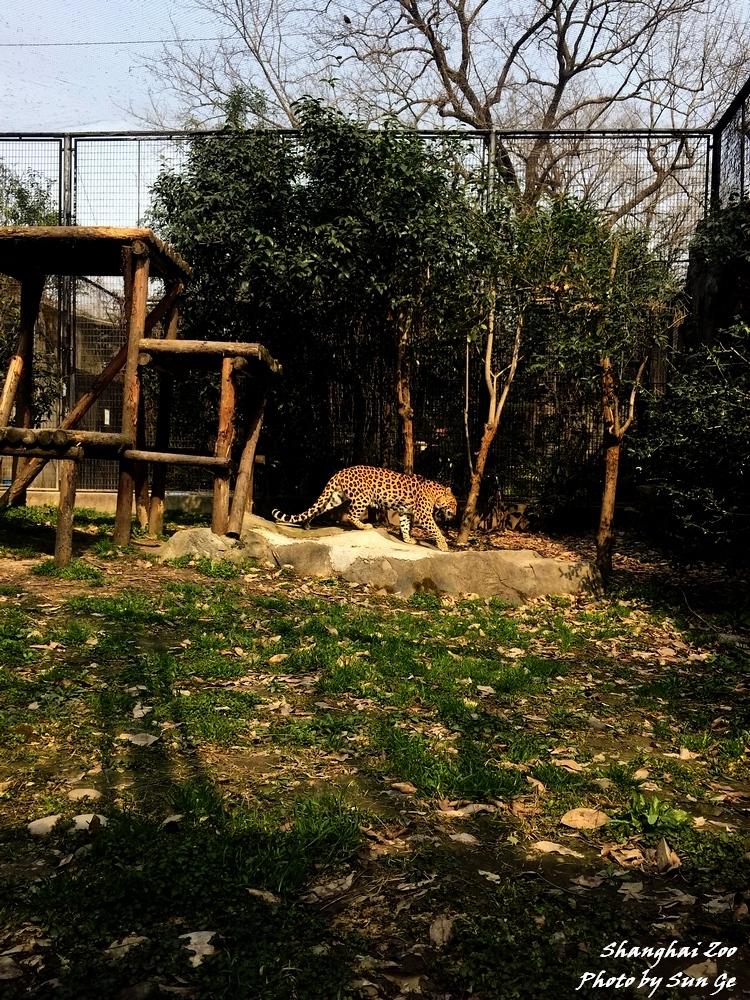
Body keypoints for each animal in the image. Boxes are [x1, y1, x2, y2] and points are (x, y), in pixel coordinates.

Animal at [272, 465, 457, 552]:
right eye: (454, 505)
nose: (454, 515)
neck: (436, 494)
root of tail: (340, 471)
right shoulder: (423, 514)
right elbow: (435, 529)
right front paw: (444, 545)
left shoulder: (405, 511)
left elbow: (405, 526)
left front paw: (408, 539)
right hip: (363, 497)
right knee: (351, 515)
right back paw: (365, 526)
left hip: (335, 497)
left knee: (319, 508)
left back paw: (306, 525)